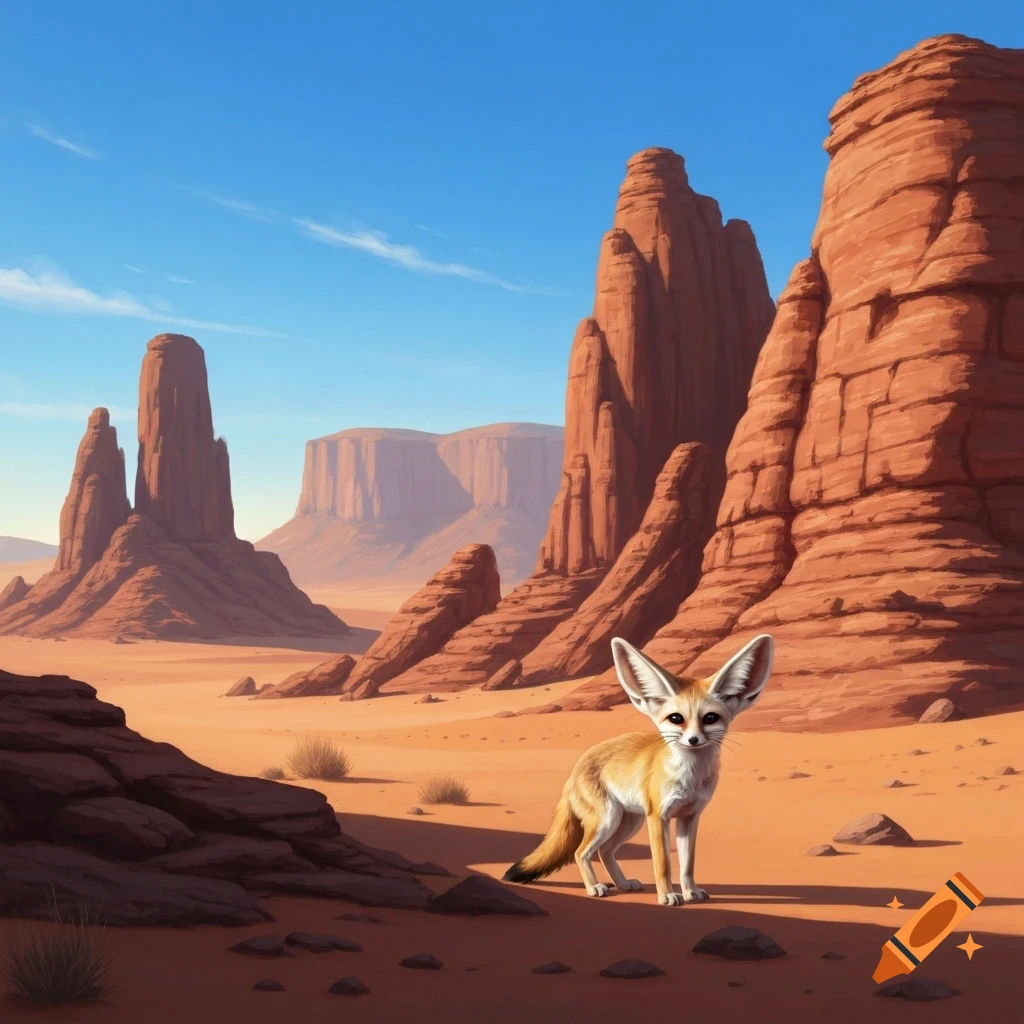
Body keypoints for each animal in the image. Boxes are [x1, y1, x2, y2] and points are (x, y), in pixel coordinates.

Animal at [502, 632, 774, 905]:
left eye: (710, 718)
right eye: (676, 719)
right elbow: (663, 864)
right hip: (608, 819)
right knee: (582, 853)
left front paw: (690, 892)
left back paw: (623, 884)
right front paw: (667, 895)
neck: (689, 779)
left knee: (604, 851)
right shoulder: (658, 817)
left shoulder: (689, 816)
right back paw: (594, 887)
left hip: (629, 821)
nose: (693, 740)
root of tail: (576, 768)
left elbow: (687, 864)